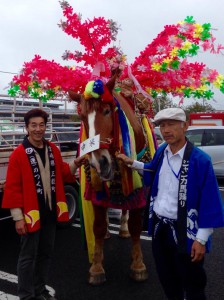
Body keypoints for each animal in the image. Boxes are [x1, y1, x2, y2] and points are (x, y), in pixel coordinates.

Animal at [68, 74, 156, 284]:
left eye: (107, 111)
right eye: (82, 118)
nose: (99, 162)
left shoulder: (138, 188)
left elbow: (135, 226)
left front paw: (138, 265)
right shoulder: (96, 187)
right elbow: (98, 227)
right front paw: (96, 267)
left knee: (125, 210)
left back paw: (122, 229)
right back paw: (110, 231)